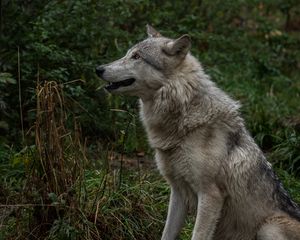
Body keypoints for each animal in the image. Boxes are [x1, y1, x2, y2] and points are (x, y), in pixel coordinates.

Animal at [95, 25, 300, 239]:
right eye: (127, 54)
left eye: (136, 57)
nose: (98, 69)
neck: (183, 116)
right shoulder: (177, 192)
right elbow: (167, 233)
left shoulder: (210, 195)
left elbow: (198, 234)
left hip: (269, 227)